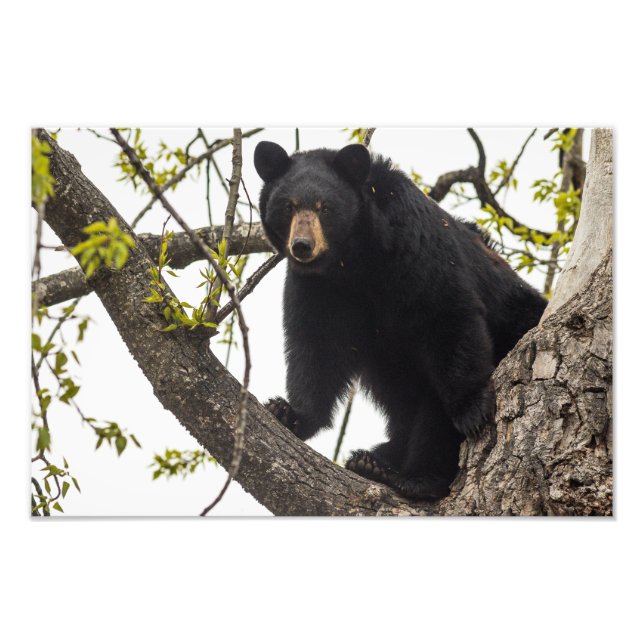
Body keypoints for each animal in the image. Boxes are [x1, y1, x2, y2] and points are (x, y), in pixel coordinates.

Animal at [254, 140, 547, 501]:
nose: (302, 246)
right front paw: (289, 412)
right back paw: (373, 460)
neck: (354, 261)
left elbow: (447, 314)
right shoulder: (318, 288)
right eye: (288, 206)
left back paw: (412, 476)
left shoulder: (415, 247)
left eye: (325, 208)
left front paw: (472, 409)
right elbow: (316, 346)